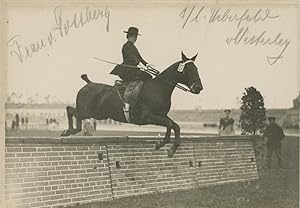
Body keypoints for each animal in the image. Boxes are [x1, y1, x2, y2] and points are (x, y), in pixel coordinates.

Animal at [61, 52, 203, 156]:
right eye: (188, 70)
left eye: (196, 68)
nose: (198, 88)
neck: (158, 88)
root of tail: (88, 84)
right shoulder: (148, 117)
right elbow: (169, 124)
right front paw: (164, 145)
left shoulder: (161, 115)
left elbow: (175, 126)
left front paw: (169, 147)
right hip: (88, 111)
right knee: (70, 110)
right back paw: (68, 130)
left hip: (96, 114)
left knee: (76, 115)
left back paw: (74, 130)